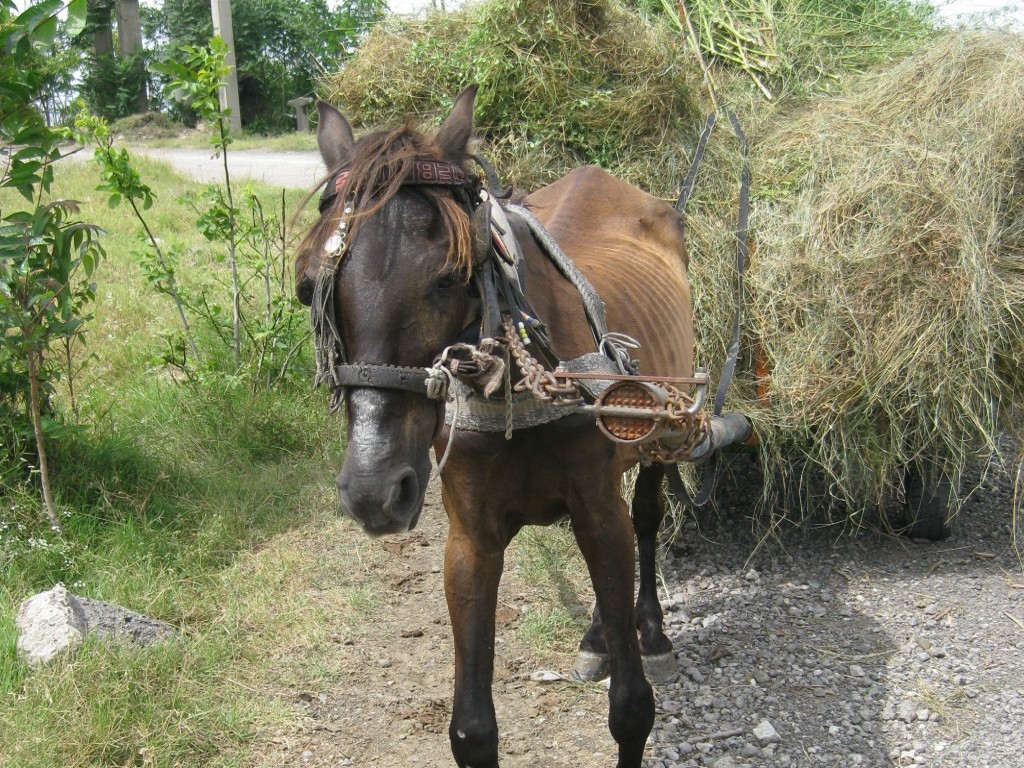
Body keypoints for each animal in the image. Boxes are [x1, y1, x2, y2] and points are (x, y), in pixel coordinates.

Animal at [295, 85, 695, 768]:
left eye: (452, 278)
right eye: (309, 289)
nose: (374, 490)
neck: (521, 386)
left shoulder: (598, 512)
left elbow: (631, 708)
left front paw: (636, 652)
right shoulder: (471, 542)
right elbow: (472, 730)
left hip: (659, 434)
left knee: (643, 518)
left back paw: (651, 630)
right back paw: (598, 634)